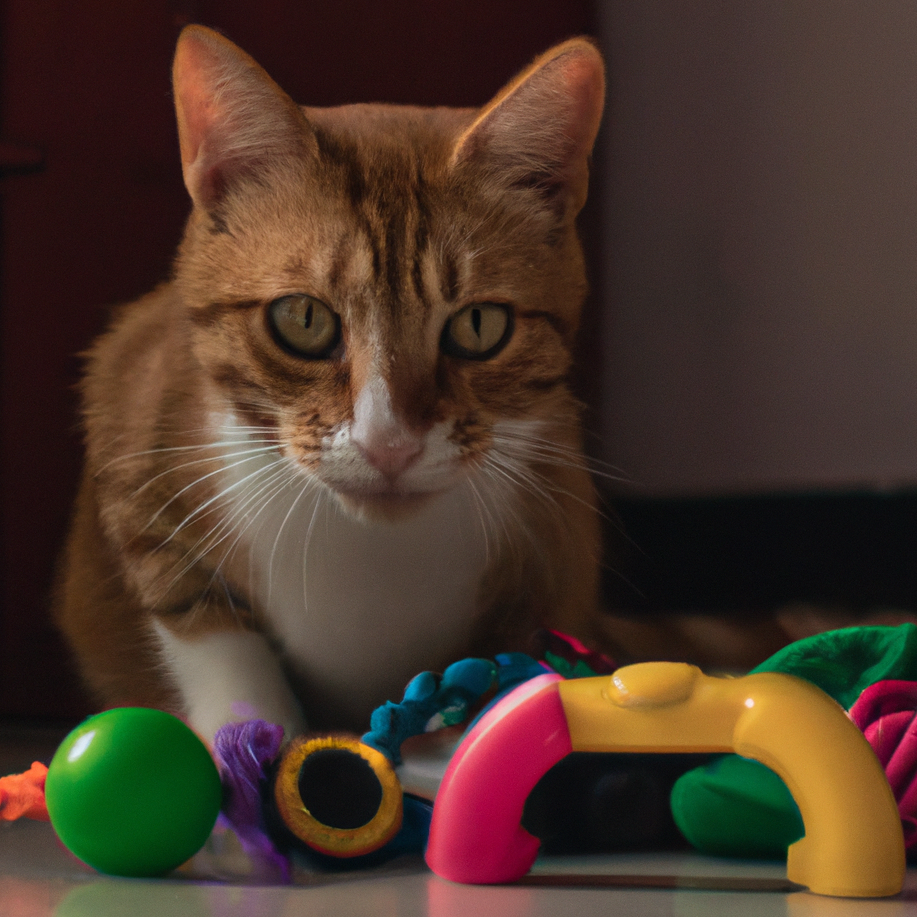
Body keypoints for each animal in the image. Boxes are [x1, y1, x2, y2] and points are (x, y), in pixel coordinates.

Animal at [53, 25, 604, 740]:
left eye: (480, 325)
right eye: (304, 319)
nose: (389, 443)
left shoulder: (557, 538)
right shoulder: (134, 432)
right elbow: (206, 630)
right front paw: (253, 744)